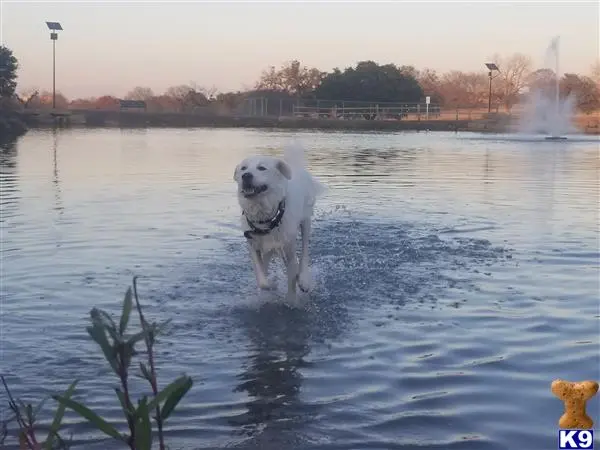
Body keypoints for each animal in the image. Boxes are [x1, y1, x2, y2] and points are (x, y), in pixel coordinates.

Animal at [233, 142, 324, 300]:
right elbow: (261, 279)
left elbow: (292, 278)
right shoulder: (253, 245)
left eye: (262, 168)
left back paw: (304, 280)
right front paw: (271, 285)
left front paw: (292, 298)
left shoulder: (289, 249)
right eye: (243, 168)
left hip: (306, 221)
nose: (246, 176)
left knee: (305, 251)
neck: (265, 218)